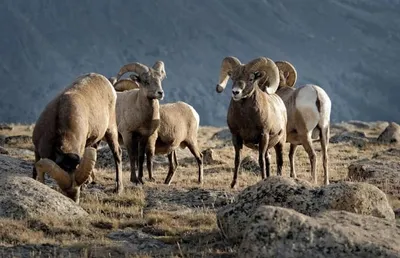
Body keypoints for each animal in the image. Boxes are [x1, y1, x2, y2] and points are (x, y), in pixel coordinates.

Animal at [216, 56, 288, 188]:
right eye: (233, 77)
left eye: (250, 79)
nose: (236, 92)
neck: (246, 120)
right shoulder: (236, 137)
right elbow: (237, 160)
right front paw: (233, 184)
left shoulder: (263, 136)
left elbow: (261, 160)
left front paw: (262, 180)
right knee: (268, 159)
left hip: (280, 142)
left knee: (279, 161)